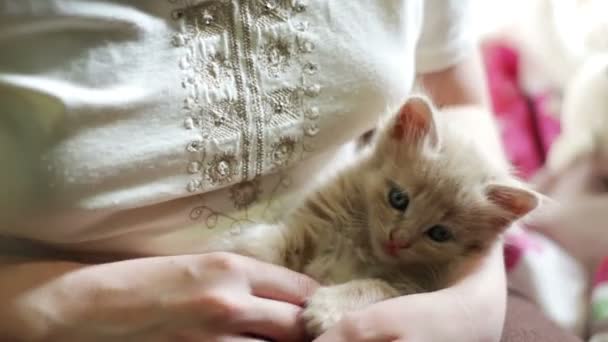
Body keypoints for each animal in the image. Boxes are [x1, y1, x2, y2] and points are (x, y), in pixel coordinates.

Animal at [217, 95, 536, 336]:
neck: (362, 246)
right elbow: (282, 238)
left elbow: (373, 286)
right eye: (398, 199)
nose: (398, 240)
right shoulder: (314, 221)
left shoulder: (412, 286)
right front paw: (242, 248)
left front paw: (328, 308)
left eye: (439, 233)